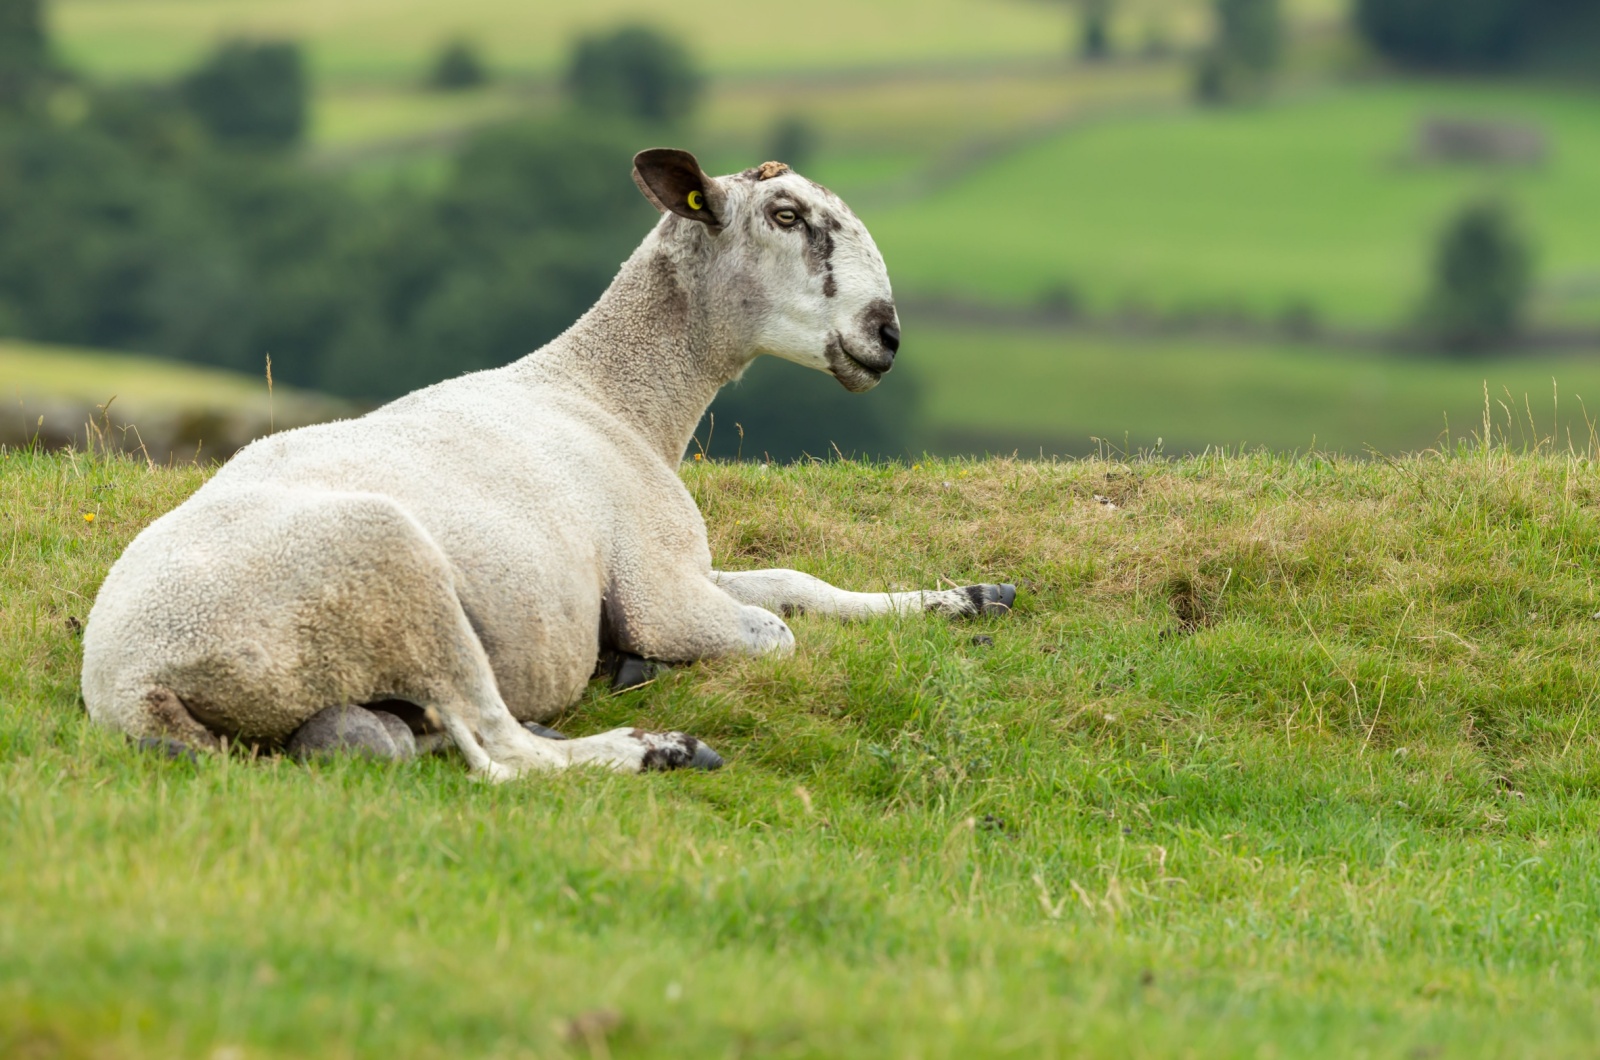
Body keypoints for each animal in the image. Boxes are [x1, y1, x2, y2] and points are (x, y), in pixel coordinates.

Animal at [81, 149, 1011, 781]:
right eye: (785, 215)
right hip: (392, 570)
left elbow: (798, 582)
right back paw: (655, 748)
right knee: (499, 754)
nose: (887, 335)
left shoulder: (680, 562)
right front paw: (642, 672)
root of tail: (131, 681)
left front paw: (963, 597)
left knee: (399, 736)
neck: (612, 396)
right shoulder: (657, 588)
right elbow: (775, 633)